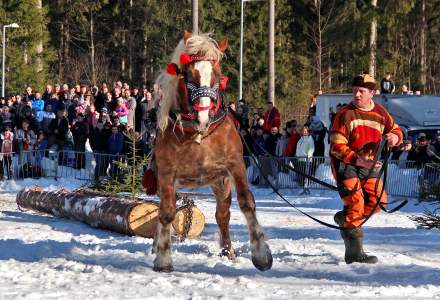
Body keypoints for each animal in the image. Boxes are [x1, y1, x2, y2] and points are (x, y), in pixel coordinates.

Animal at [149, 30, 272, 272]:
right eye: (189, 75)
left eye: (217, 75)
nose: (202, 116)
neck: (199, 134)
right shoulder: (167, 172)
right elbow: (166, 212)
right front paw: (163, 258)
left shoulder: (235, 164)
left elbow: (247, 202)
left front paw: (261, 254)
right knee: (164, 208)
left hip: (220, 182)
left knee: (222, 214)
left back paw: (227, 250)